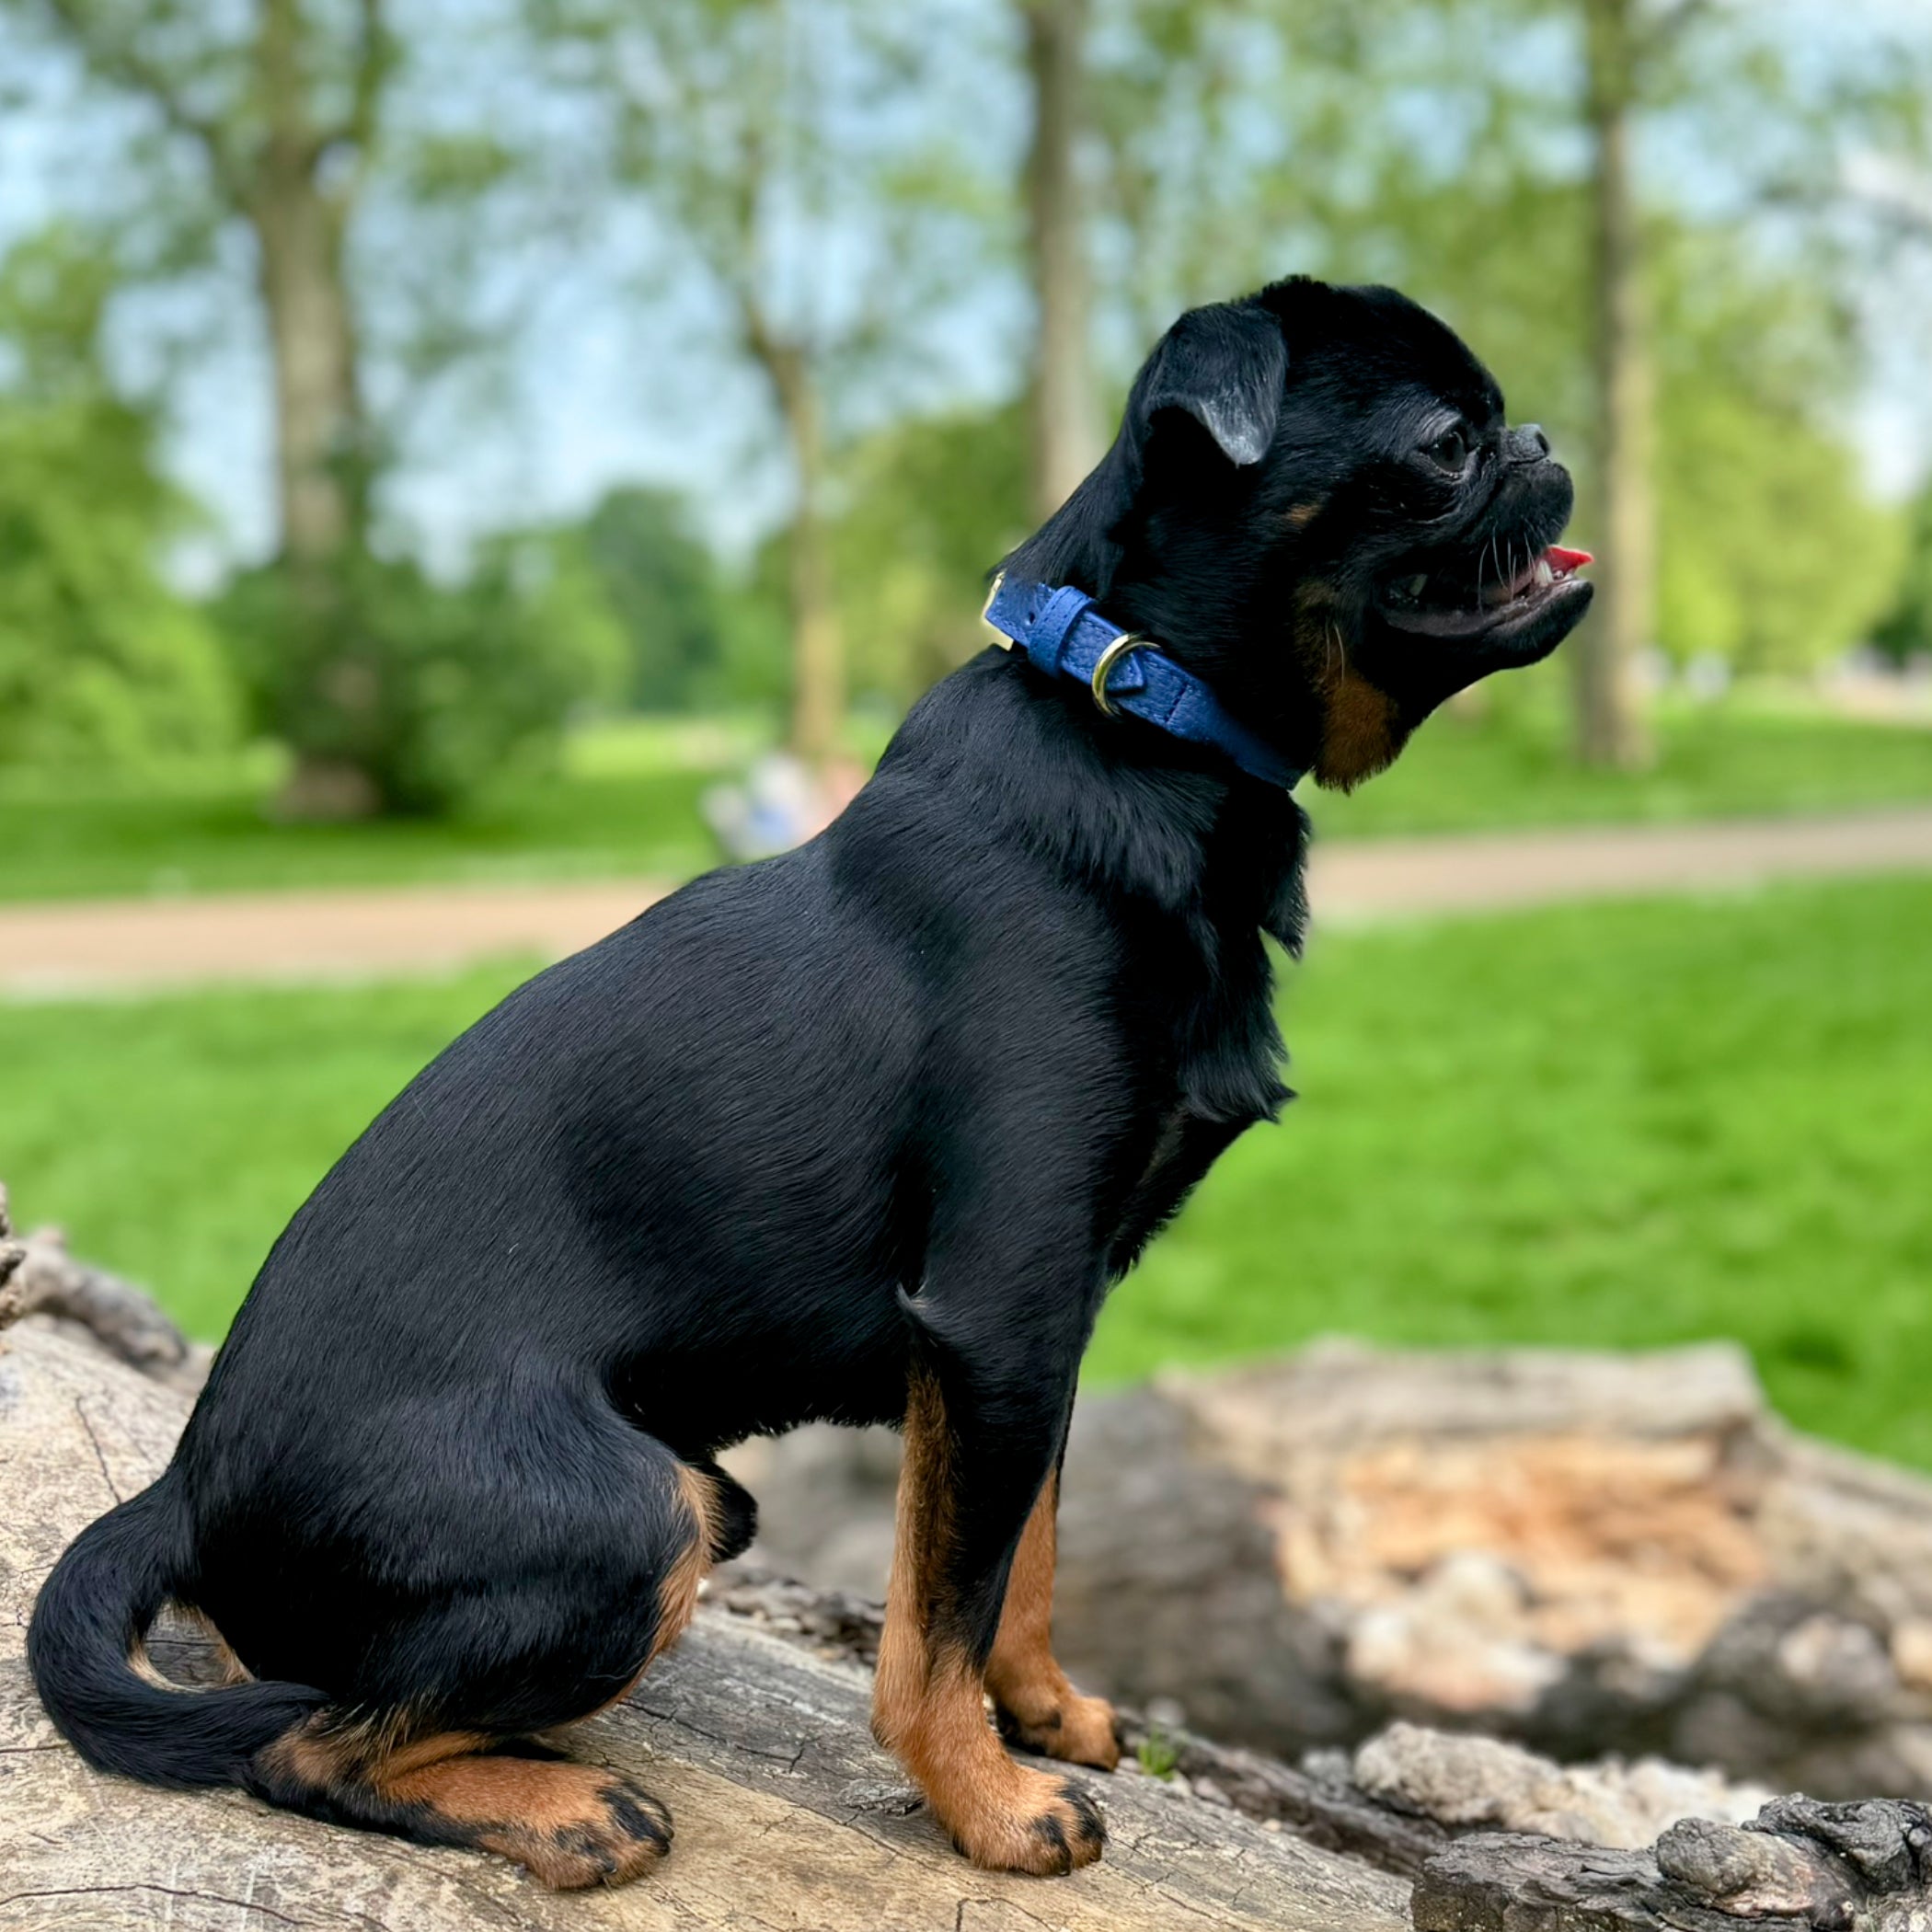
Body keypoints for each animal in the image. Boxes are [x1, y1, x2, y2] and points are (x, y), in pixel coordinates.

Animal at [29, 276, 1592, 1885]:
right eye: (1447, 444)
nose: (1544, 440)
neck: (1139, 730)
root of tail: (186, 1488)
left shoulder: (1047, 1322)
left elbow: (1023, 1554)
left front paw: (1044, 1713)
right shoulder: (998, 1312)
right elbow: (934, 1621)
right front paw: (989, 1801)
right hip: (647, 1512)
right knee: (305, 1747)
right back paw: (559, 1809)